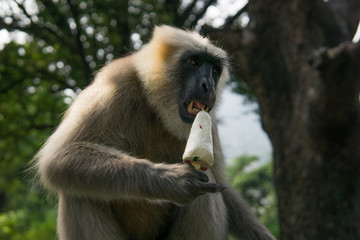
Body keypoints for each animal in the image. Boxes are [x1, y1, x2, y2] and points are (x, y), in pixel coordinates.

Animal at [33, 24, 276, 240]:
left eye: (215, 71)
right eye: (194, 62)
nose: (209, 85)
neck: (156, 110)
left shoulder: (210, 119)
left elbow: (223, 188)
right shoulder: (117, 82)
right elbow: (60, 156)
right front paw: (175, 182)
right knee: (75, 189)